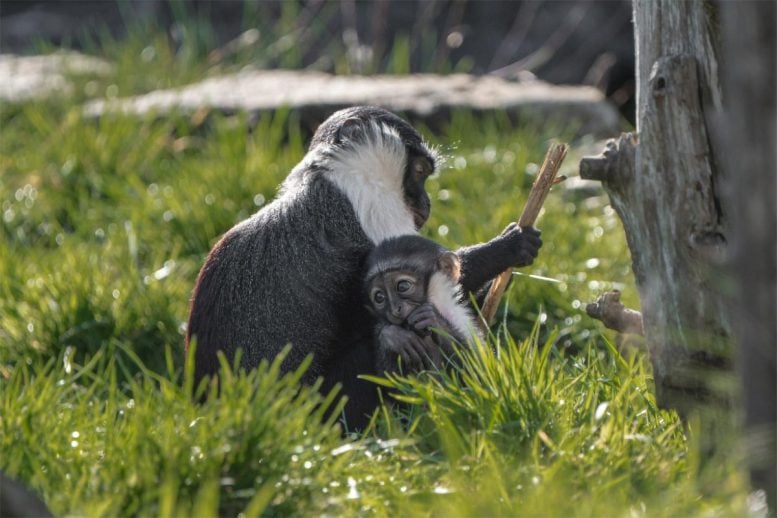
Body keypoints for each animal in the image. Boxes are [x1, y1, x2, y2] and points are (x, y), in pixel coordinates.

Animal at [364, 235, 481, 376]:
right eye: (379, 297)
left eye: (403, 286)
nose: (395, 309)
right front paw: (392, 337)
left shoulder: (460, 318)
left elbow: (478, 372)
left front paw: (435, 321)